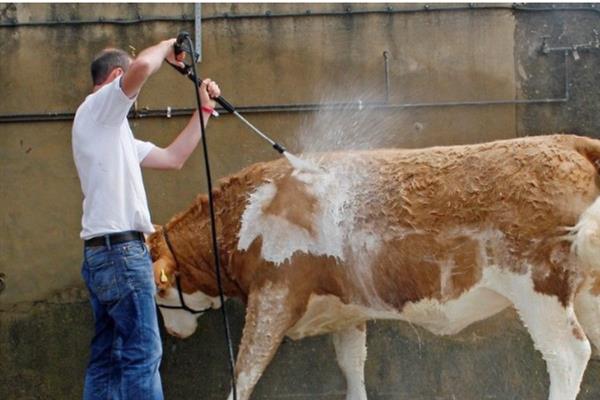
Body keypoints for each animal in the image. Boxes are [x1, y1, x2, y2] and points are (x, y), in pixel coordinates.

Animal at [146, 135, 600, 400]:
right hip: (588, 291)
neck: (242, 216)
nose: (173, 333)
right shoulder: (346, 309)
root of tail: (569, 141)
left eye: (160, 289)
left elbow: (244, 373)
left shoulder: (273, 296)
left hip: (539, 289)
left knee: (568, 355)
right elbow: (352, 366)